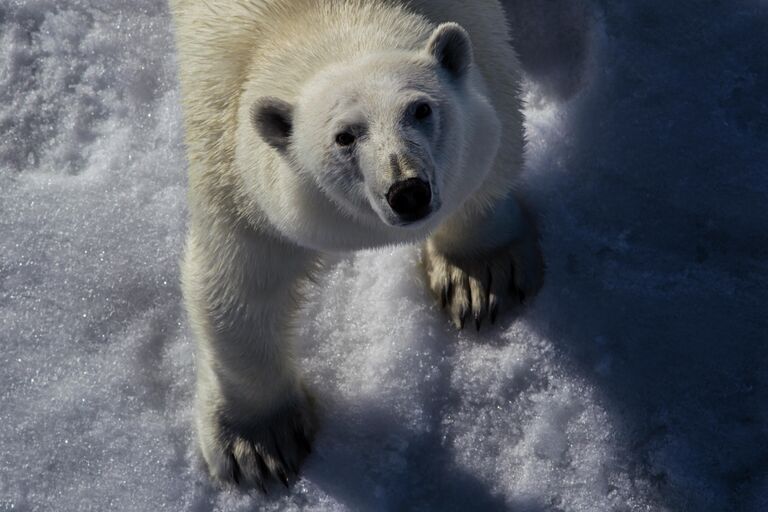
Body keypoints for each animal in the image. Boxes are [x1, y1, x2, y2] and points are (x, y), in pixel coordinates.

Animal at [170, 0, 540, 488]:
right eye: (345, 136)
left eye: (421, 109)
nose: (407, 190)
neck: (319, 16)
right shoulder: (233, 153)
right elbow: (239, 281)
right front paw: (259, 446)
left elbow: (490, 160)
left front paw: (479, 278)